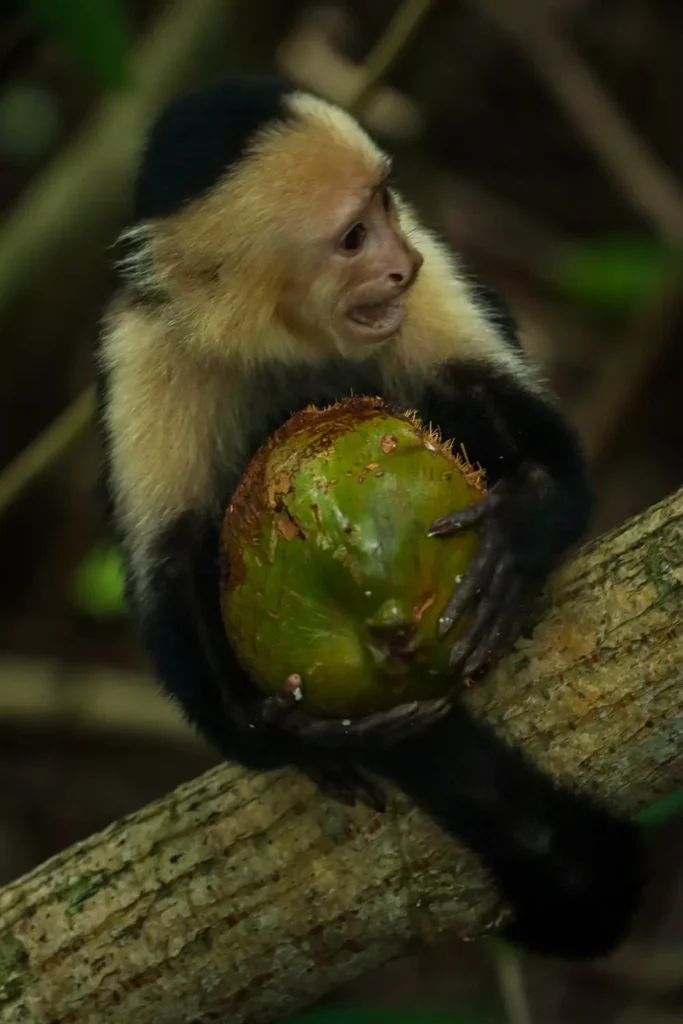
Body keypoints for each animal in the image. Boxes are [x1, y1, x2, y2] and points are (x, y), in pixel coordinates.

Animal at [94, 76, 644, 960]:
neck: (279, 338)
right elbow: (168, 563)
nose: (400, 263)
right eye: (352, 238)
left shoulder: (422, 291)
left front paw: (518, 523)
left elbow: (503, 411)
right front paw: (277, 731)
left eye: (385, 204)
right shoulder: (145, 348)